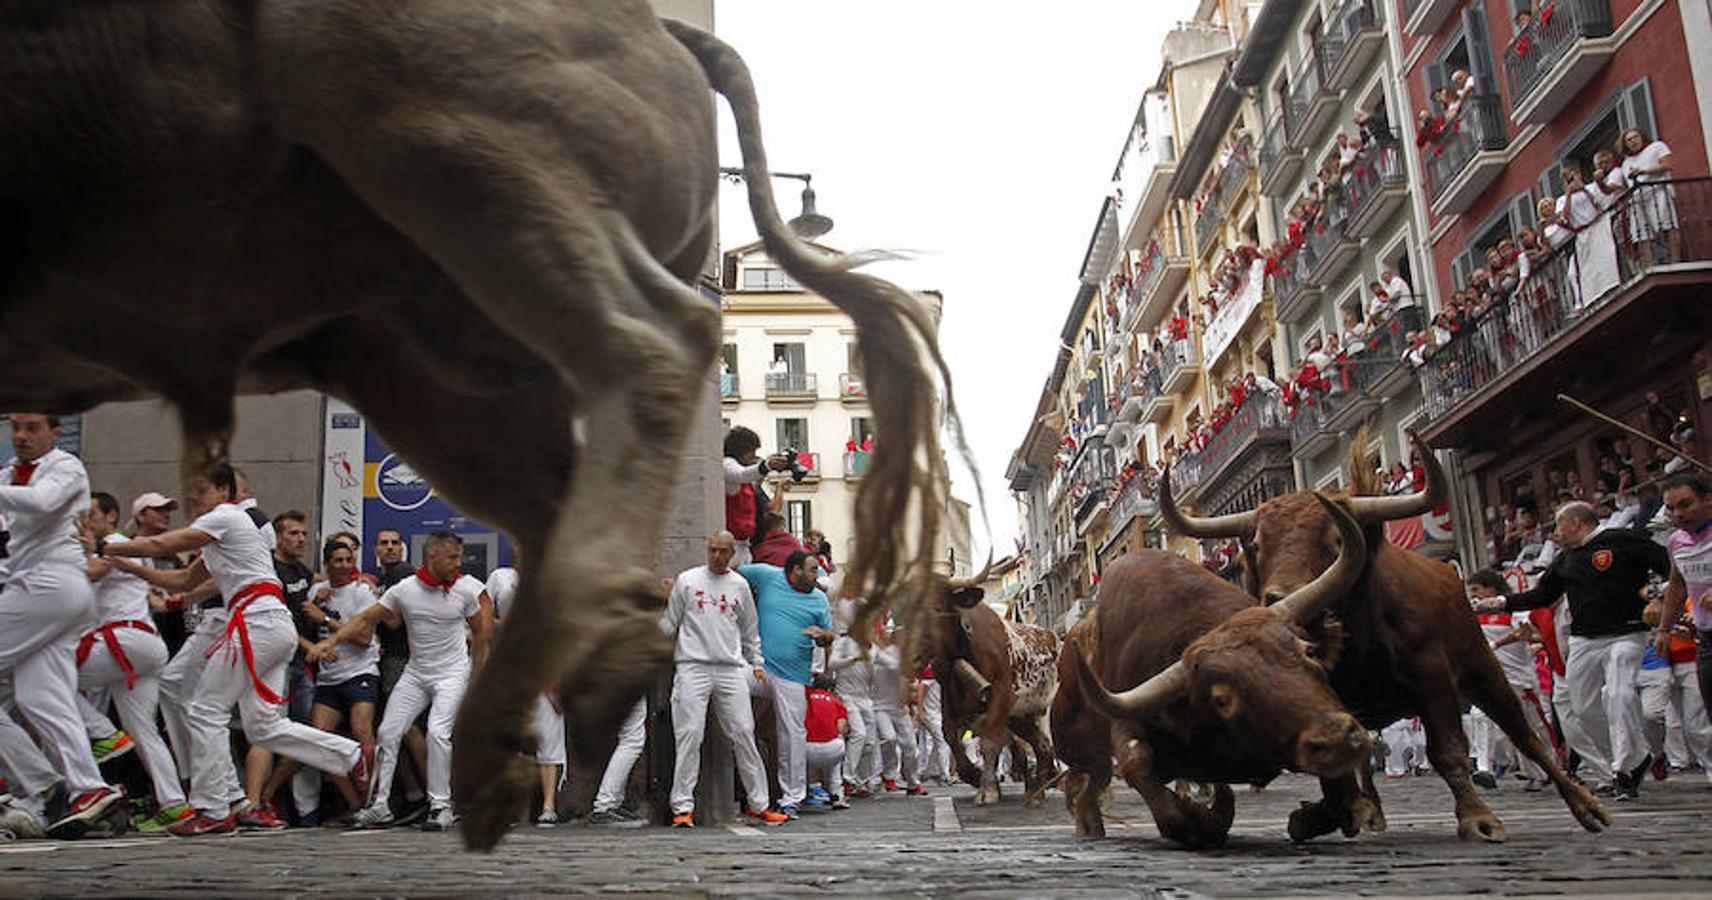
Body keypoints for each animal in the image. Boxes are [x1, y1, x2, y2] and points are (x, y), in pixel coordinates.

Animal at [924, 578, 1054, 811]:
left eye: (937, 607)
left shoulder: (1002, 697)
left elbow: (989, 743)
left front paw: (988, 790)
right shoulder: (949, 698)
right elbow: (950, 736)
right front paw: (974, 776)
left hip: (1043, 710)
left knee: (1046, 746)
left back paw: (1039, 789)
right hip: (1019, 718)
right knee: (1040, 746)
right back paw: (1035, 790)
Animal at [1047, 496, 1369, 852]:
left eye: (1308, 653)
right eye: (1222, 699)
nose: (1336, 738)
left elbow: (1341, 796)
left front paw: (1314, 817)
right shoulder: (1126, 719)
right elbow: (1137, 762)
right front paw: (1208, 819)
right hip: (1082, 755)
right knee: (1089, 784)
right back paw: (1089, 826)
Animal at [1157, 431, 1609, 848]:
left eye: (1336, 539)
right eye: (1254, 544)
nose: (1280, 599)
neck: (1357, 640)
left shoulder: (1433, 676)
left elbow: (1448, 749)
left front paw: (1478, 818)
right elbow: (1336, 760)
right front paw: (1327, 814)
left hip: (1484, 670)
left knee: (1523, 733)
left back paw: (1585, 803)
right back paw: (1370, 809)